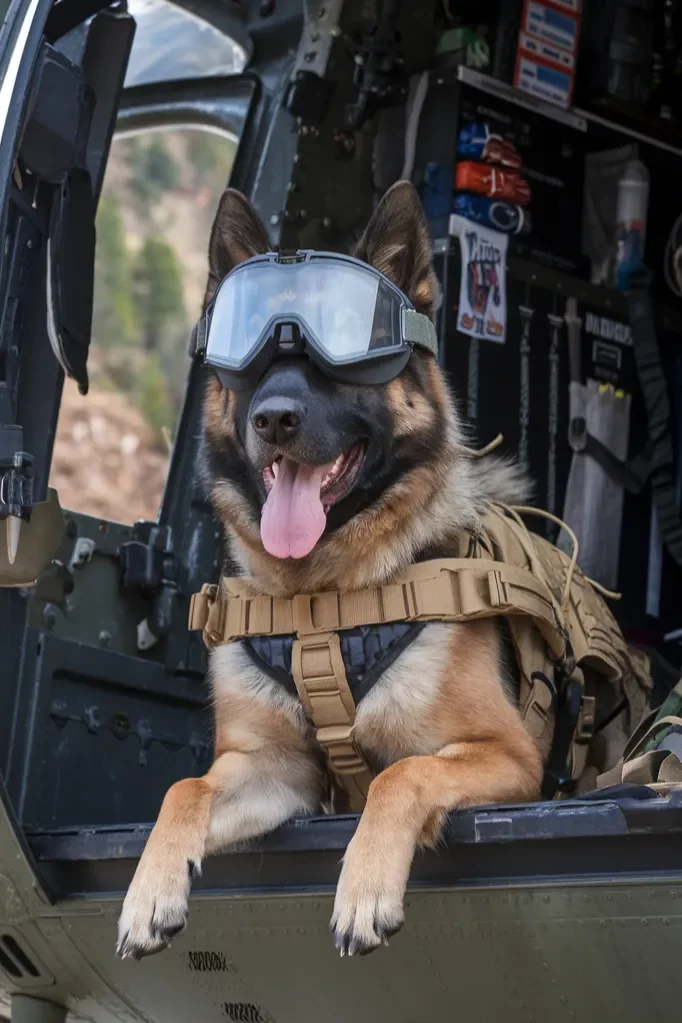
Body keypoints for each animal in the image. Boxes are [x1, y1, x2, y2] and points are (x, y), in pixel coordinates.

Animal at [118, 182, 543, 957]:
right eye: (250, 358)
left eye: (346, 345)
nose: (274, 419)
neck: (326, 597)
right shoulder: (274, 772)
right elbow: (184, 789)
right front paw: (148, 891)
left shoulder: (510, 758)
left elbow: (401, 772)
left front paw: (364, 885)